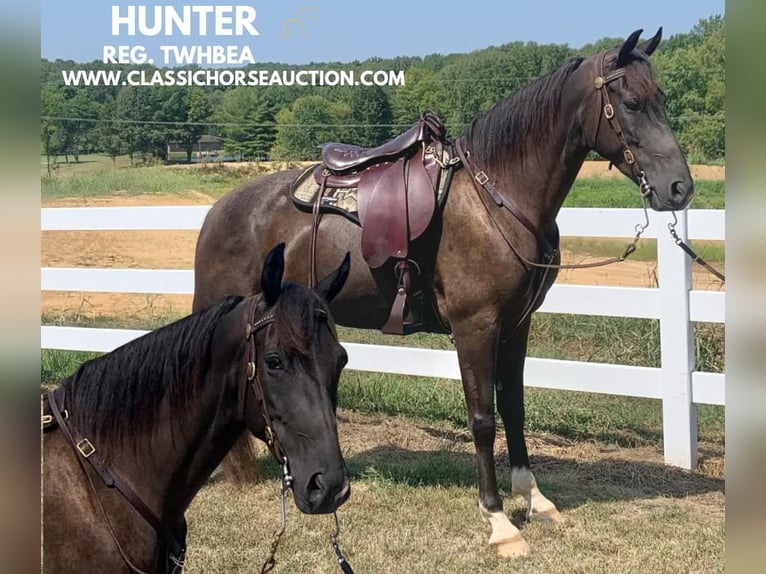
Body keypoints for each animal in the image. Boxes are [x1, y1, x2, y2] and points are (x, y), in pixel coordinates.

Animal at [192, 28, 696, 560]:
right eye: (633, 103)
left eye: (663, 99)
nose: (680, 188)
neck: (496, 198)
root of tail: (220, 210)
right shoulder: (475, 328)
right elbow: (483, 419)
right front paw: (499, 520)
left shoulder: (516, 326)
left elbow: (514, 408)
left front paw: (534, 499)